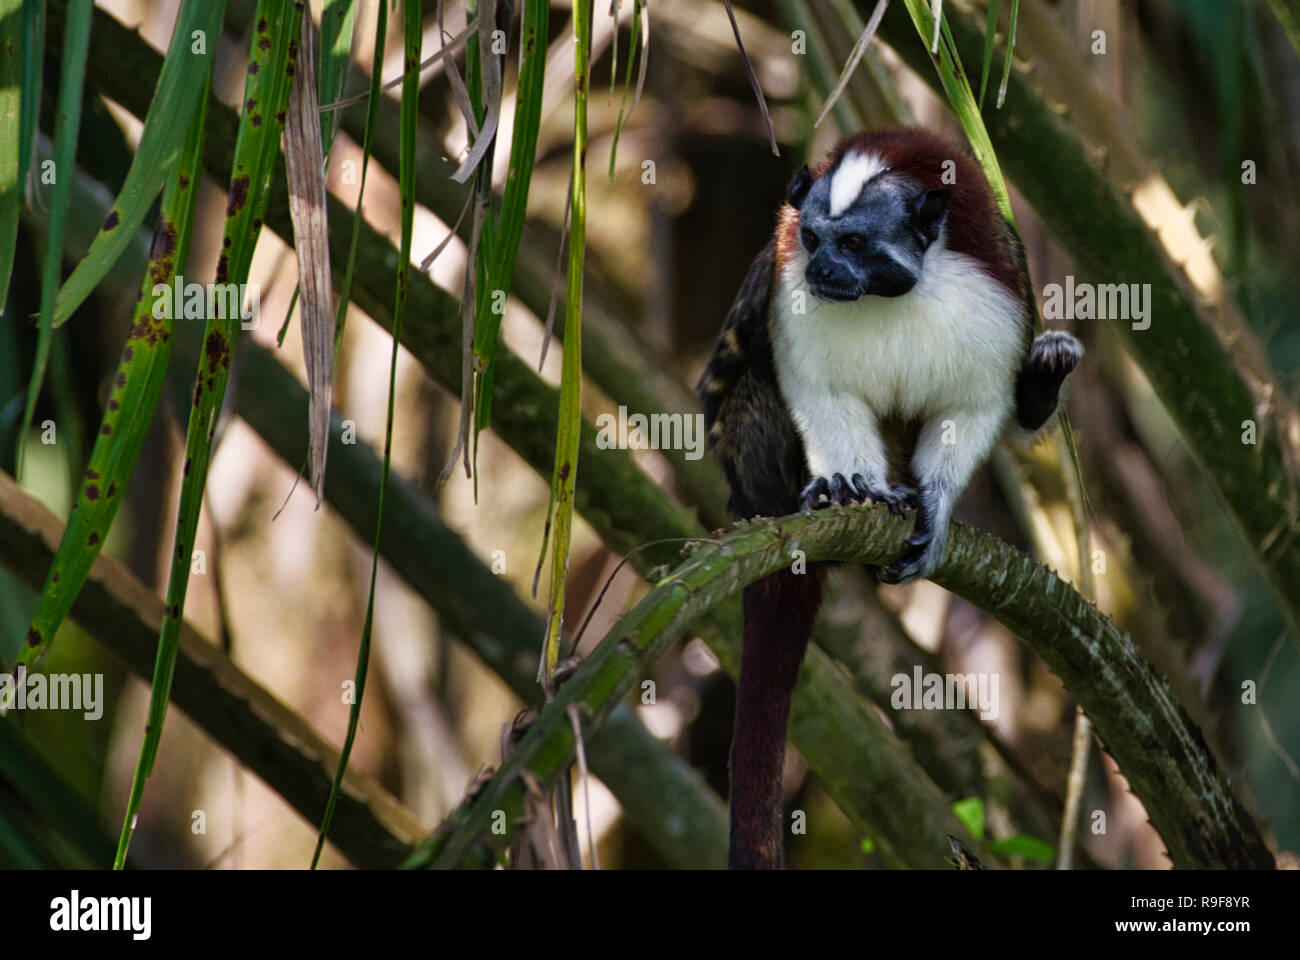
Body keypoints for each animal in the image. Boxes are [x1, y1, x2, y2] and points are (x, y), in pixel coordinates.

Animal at [695, 127, 1082, 869]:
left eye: (855, 245)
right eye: (814, 240)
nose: (822, 272)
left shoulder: (997, 296)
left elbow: (974, 407)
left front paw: (934, 504)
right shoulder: (785, 284)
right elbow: (816, 390)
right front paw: (849, 485)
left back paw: (1044, 383)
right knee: (750, 385)